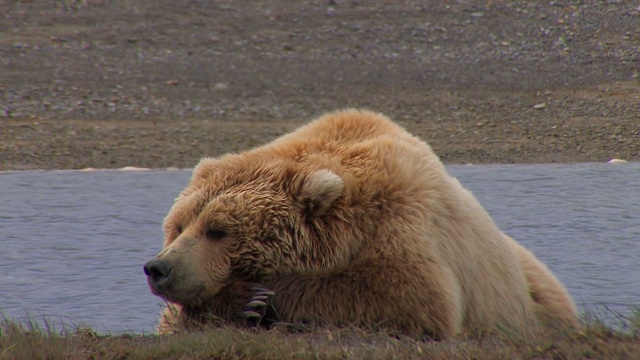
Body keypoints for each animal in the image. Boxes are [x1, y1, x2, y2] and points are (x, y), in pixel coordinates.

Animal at [145, 109, 580, 338]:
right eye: (179, 226)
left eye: (217, 230)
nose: (159, 268)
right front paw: (239, 304)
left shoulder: (402, 219)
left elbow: (409, 296)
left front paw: (252, 300)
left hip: (529, 302)